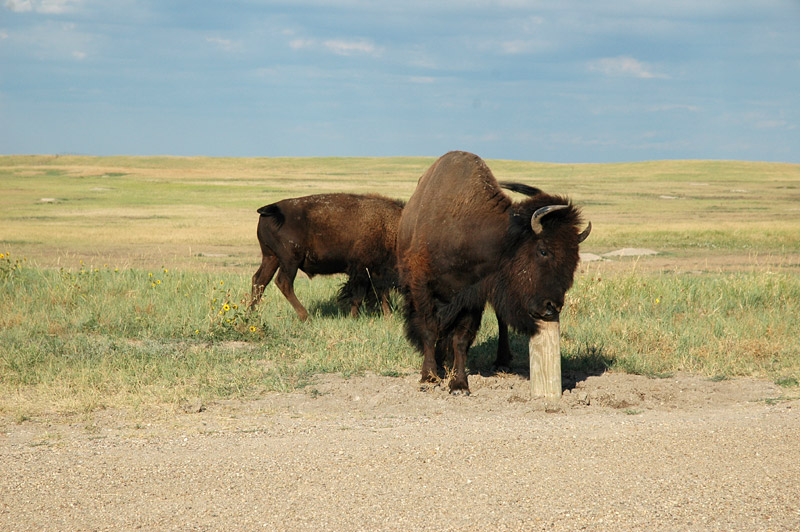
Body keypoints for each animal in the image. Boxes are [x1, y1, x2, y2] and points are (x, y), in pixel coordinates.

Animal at [250, 194, 404, 322]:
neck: (387, 228)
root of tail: (272, 209)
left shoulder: (377, 273)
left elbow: (383, 295)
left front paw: (389, 317)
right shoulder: (362, 271)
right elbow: (358, 297)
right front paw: (354, 317)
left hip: (271, 258)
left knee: (259, 281)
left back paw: (252, 313)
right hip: (290, 261)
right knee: (283, 282)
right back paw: (305, 317)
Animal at [398, 152, 592, 392]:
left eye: (574, 259)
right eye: (543, 250)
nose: (552, 307)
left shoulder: (473, 296)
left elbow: (461, 338)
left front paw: (459, 384)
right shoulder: (422, 287)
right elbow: (429, 330)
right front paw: (429, 377)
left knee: (500, 320)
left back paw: (501, 361)